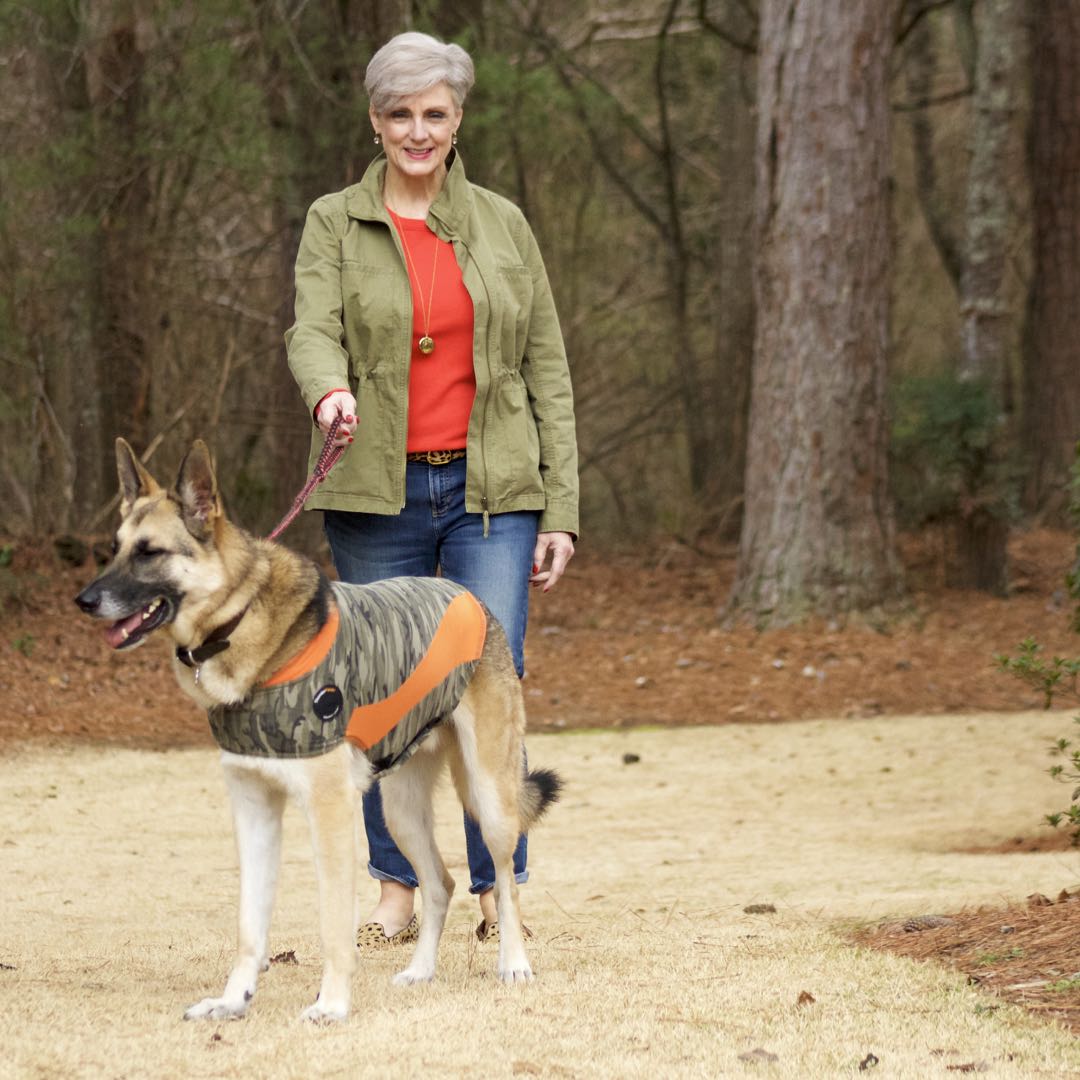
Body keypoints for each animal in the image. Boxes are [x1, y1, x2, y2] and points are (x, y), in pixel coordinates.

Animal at [73, 438, 565, 1019]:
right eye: (114, 548)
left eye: (150, 552)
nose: (84, 601)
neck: (240, 620)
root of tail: (469, 596)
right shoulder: (253, 809)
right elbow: (249, 924)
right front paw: (233, 1000)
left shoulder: (328, 809)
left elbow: (333, 924)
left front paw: (331, 1005)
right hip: (399, 809)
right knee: (440, 883)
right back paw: (420, 970)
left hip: (489, 798)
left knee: (506, 879)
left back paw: (514, 963)